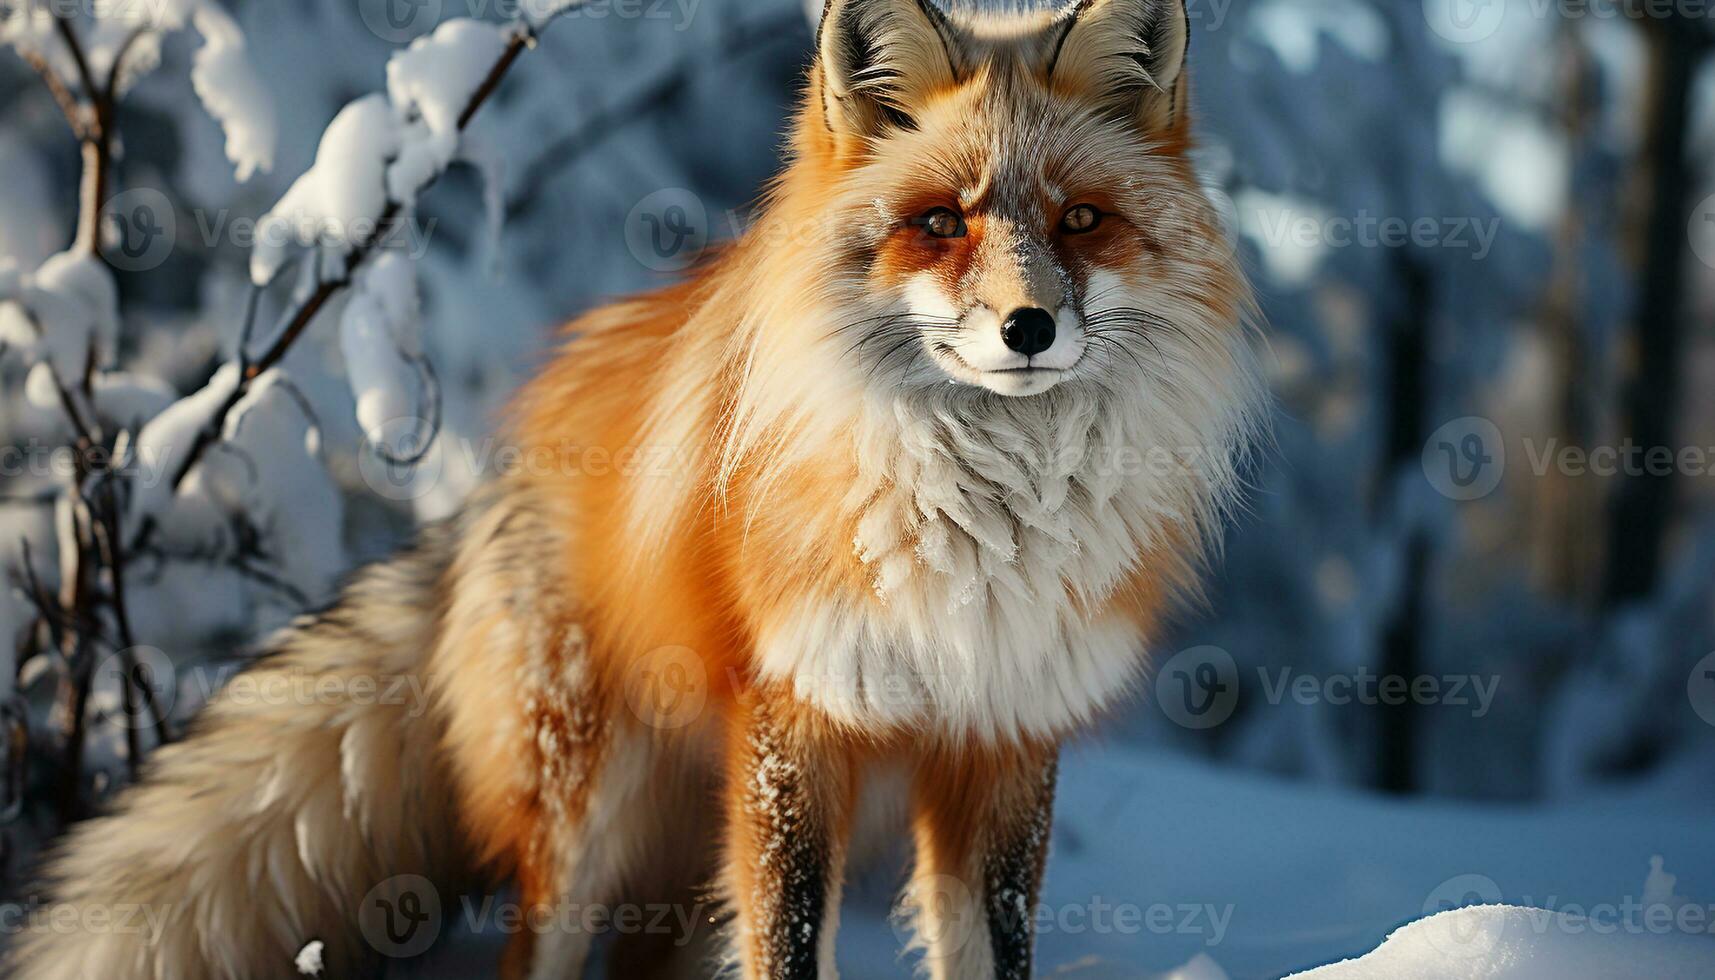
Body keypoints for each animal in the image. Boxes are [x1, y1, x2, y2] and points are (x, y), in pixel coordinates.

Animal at [13, 0, 1262, 974]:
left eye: (1080, 220)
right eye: (939, 223)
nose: (1027, 327)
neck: (979, 524)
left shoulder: (1001, 738)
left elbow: (987, 949)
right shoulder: (794, 721)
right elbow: (787, 946)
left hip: (678, 855)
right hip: (585, 811)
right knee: (540, 950)